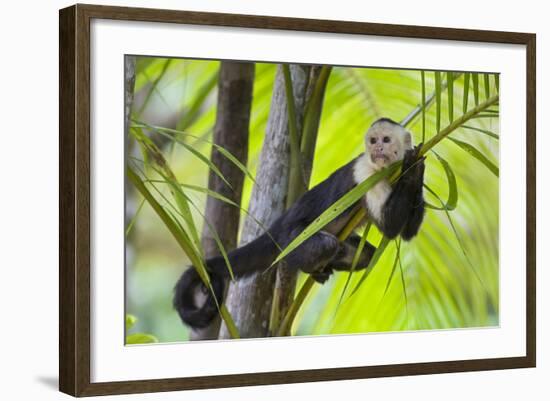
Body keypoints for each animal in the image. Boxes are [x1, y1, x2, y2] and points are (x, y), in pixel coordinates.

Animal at [172, 118, 426, 328]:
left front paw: (416, 169)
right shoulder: (366, 172)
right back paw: (310, 266)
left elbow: (406, 232)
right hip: (291, 237)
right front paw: (413, 169)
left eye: (385, 140)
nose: (377, 149)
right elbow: (389, 226)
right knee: (324, 245)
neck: (386, 169)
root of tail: (280, 223)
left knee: (364, 255)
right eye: (373, 141)